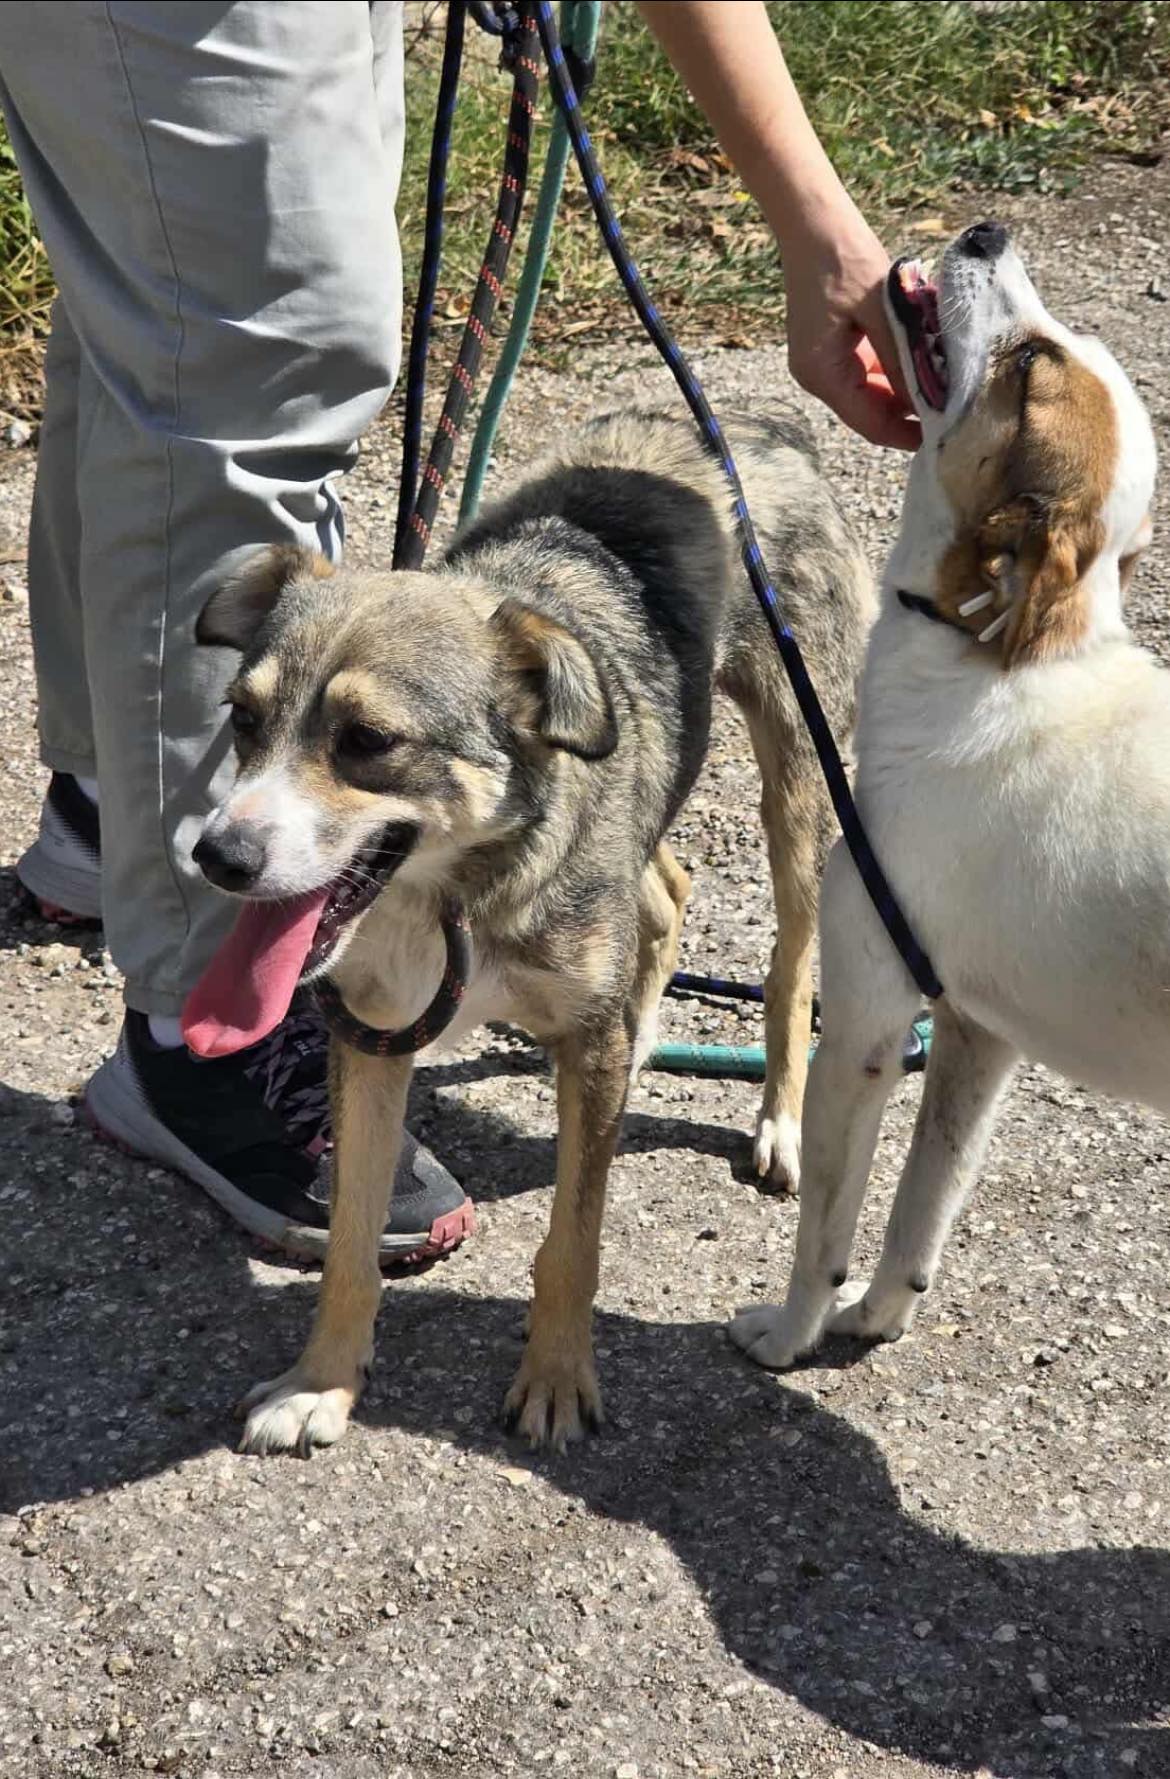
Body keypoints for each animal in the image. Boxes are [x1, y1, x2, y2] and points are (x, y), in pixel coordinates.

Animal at [184, 407, 873, 1452]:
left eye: (368, 742)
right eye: (243, 717)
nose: (216, 855)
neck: (456, 892)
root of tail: (761, 422)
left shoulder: (578, 1044)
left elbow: (572, 1242)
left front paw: (555, 1379)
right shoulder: (373, 1038)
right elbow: (350, 1236)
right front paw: (322, 1380)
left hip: (799, 772)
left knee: (790, 959)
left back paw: (779, 1121)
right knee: (667, 886)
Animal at [730, 221, 1159, 1373]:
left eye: (1031, 366)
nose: (987, 230)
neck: (998, 666)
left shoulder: (868, 1023)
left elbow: (824, 1233)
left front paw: (786, 1335)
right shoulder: (978, 1037)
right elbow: (922, 1210)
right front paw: (876, 1319)